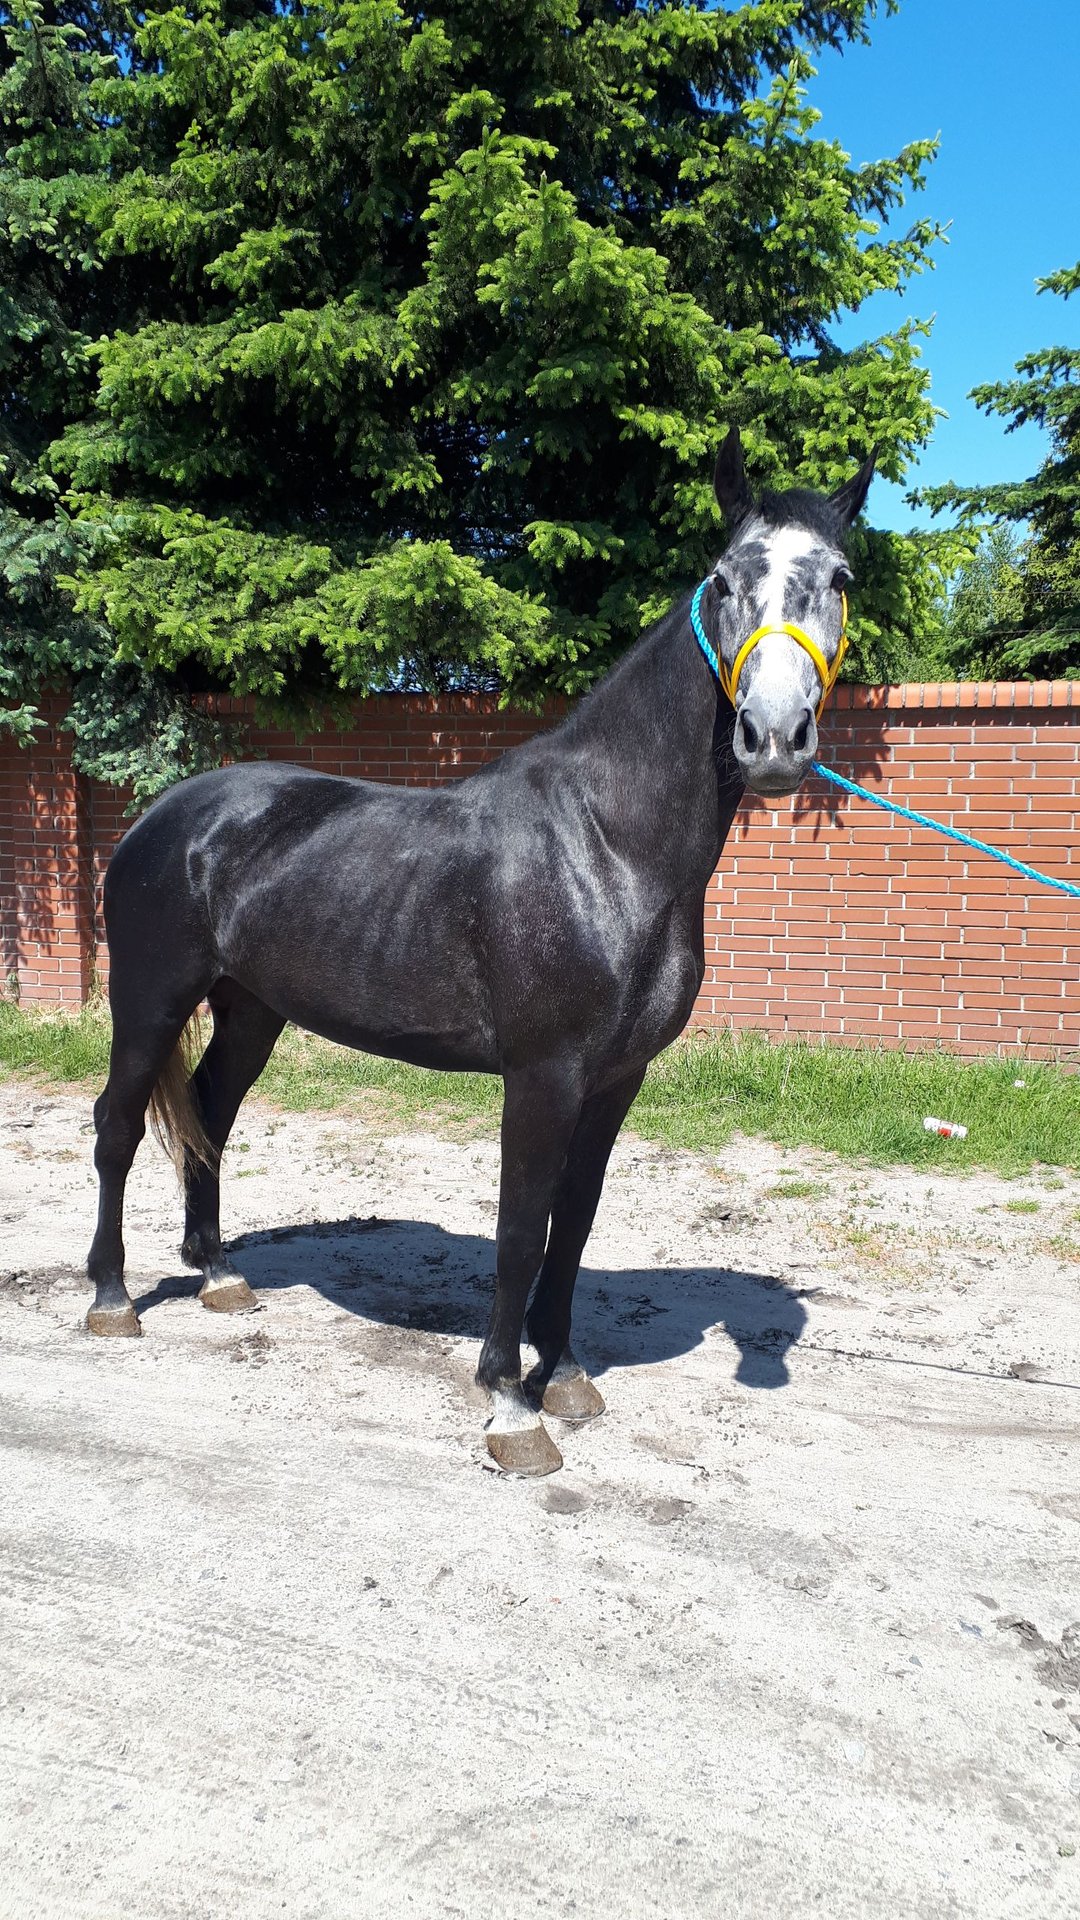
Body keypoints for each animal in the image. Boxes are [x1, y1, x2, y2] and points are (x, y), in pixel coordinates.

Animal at [86, 427, 875, 1475]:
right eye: (724, 577)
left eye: (838, 577)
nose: (775, 737)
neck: (607, 844)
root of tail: (164, 816)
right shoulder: (542, 1076)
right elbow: (519, 1228)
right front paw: (510, 1406)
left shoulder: (615, 1078)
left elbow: (573, 1223)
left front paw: (566, 1374)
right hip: (149, 1001)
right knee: (118, 1127)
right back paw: (110, 1298)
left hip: (252, 1008)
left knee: (211, 1112)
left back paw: (218, 1276)